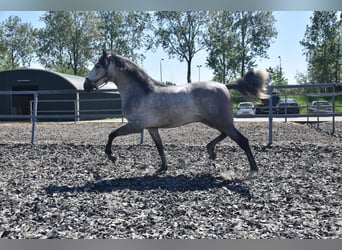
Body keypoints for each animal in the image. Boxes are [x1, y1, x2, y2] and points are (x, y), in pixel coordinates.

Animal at [84, 50, 268, 178]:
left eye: (98, 66)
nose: (86, 85)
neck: (140, 93)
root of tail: (224, 86)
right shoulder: (151, 128)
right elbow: (159, 146)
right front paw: (163, 168)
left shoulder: (135, 126)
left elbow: (112, 134)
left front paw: (112, 156)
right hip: (215, 121)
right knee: (225, 135)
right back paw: (211, 151)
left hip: (221, 121)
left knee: (242, 141)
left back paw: (252, 171)